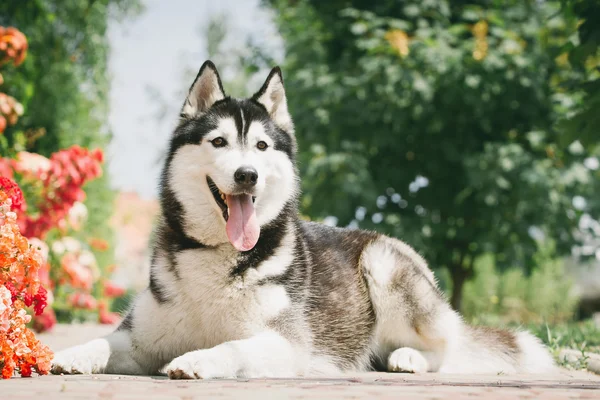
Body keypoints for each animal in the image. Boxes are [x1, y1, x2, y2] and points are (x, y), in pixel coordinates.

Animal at [49, 61, 556, 378]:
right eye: (218, 142)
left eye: (261, 146)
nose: (247, 174)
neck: (218, 256)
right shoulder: (141, 338)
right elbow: (102, 343)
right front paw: (69, 353)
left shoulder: (284, 342)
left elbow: (230, 345)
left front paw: (198, 360)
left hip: (385, 265)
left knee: (447, 348)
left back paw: (409, 357)